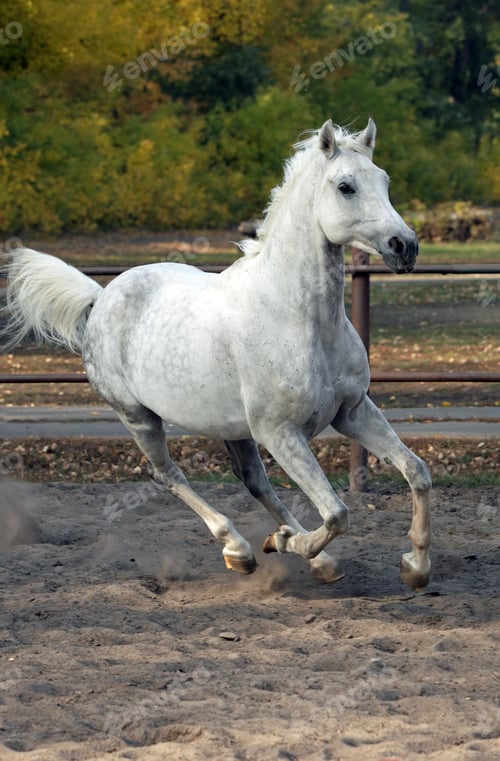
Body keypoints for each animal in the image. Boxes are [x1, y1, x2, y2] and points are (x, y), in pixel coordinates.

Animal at [2, 119, 431, 589]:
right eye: (346, 186)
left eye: (385, 181)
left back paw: (307, 557)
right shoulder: (281, 433)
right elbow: (337, 514)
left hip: (235, 429)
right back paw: (241, 549)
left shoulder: (351, 412)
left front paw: (416, 568)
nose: (404, 246)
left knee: (254, 481)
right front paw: (285, 543)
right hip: (139, 417)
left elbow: (417, 473)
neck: (298, 317)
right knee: (167, 475)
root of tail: (100, 297)